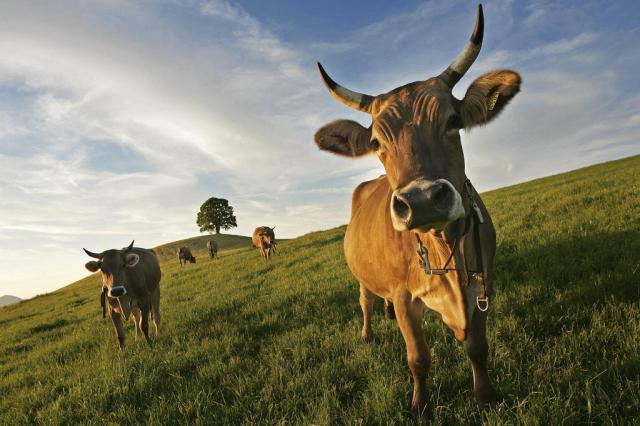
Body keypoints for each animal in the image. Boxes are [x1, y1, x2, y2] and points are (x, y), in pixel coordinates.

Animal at [312, 5, 520, 422]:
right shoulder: (406, 297)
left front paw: (486, 395)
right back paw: (369, 332)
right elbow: (418, 358)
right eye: (376, 141)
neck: (442, 247)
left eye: (454, 121)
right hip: (361, 276)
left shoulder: (483, 281)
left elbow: (477, 346)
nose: (422, 199)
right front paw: (421, 406)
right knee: (366, 301)